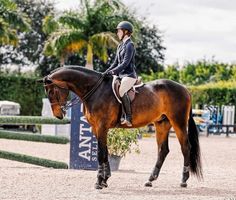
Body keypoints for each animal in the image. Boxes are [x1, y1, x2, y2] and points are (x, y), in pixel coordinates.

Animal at [39, 65, 202, 189]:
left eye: (52, 91)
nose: (58, 115)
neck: (94, 90)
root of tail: (185, 89)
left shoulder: (101, 126)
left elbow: (101, 153)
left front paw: (99, 182)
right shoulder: (96, 128)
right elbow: (105, 152)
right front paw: (105, 180)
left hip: (179, 122)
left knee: (185, 147)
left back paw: (183, 181)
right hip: (162, 124)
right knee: (163, 150)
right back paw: (150, 180)